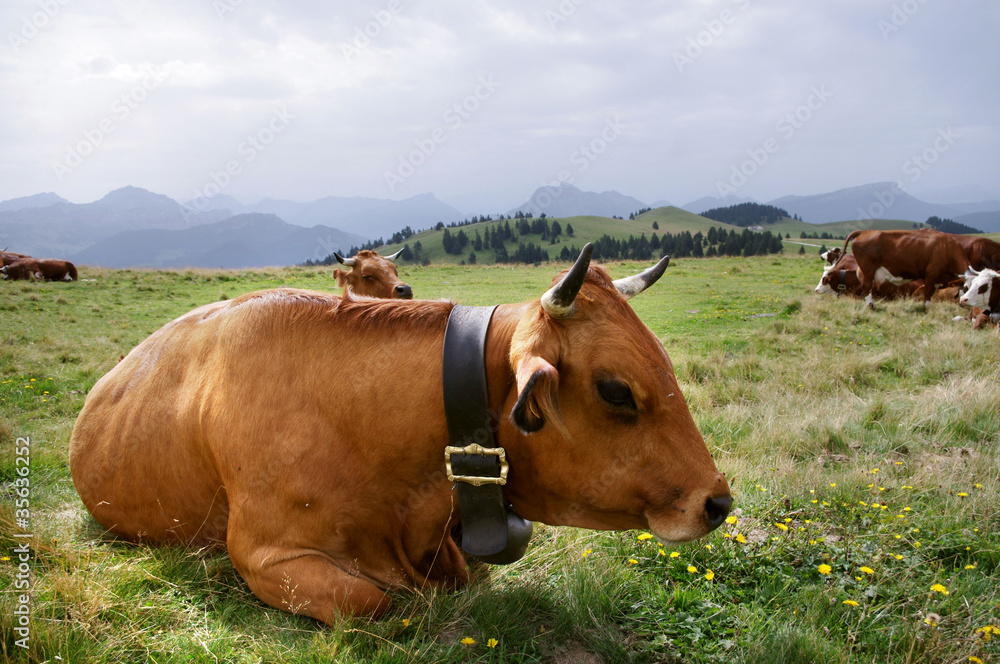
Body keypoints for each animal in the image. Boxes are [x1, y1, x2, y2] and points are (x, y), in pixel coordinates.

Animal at [840, 229, 971, 308]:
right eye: (966, 288)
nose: (967, 304)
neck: (947, 248)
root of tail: (864, 232)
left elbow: (931, 294)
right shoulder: (931, 274)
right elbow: (927, 293)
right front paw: (925, 309)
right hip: (868, 270)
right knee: (867, 287)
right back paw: (871, 306)